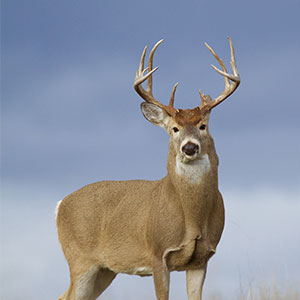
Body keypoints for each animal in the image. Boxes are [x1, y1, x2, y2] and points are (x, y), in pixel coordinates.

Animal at [55, 37, 239, 300]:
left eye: (203, 126)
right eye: (174, 128)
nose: (189, 147)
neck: (192, 217)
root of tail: (60, 204)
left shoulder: (201, 259)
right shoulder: (157, 252)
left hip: (105, 269)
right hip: (79, 259)